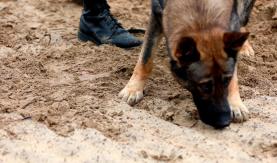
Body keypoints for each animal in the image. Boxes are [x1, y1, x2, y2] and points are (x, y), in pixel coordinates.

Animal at [118, 0, 254, 129]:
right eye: (204, 86)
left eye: (226, 80)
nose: (225, 122)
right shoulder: (156, 16)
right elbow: (146, 58)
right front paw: (133, 88)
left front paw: (235, 103)